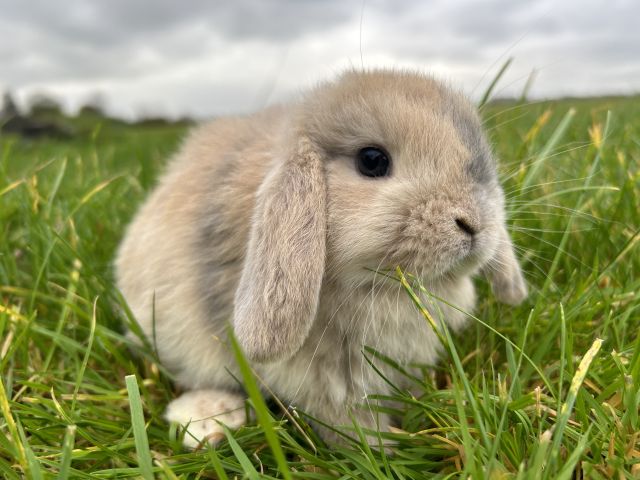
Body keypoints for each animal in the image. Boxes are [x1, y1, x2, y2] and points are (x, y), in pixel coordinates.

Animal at [115, 69, 524, 448]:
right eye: (372, 160)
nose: (474, 223)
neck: (383, 289)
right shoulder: (324, 382)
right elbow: (346, 421)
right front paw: (381, 450)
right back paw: (206, 421)